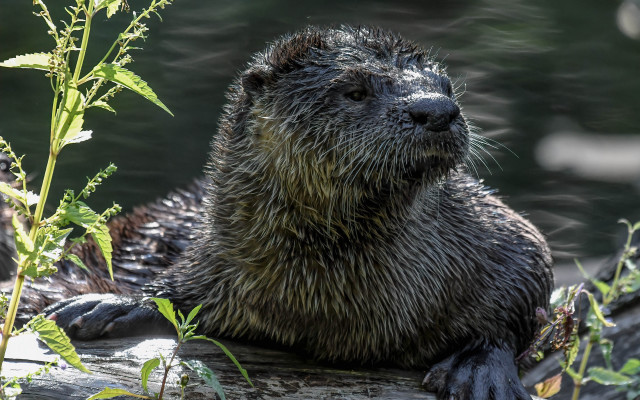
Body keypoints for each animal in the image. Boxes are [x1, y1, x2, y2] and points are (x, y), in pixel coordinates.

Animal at [40, 26, 553, 400]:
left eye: (445, 86)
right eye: (354, 91)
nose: (437, 110)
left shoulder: (494, 233)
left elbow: (531, 271)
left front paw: (480, 363)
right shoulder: (219, 257)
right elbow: (179, 290)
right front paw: (113, 303)